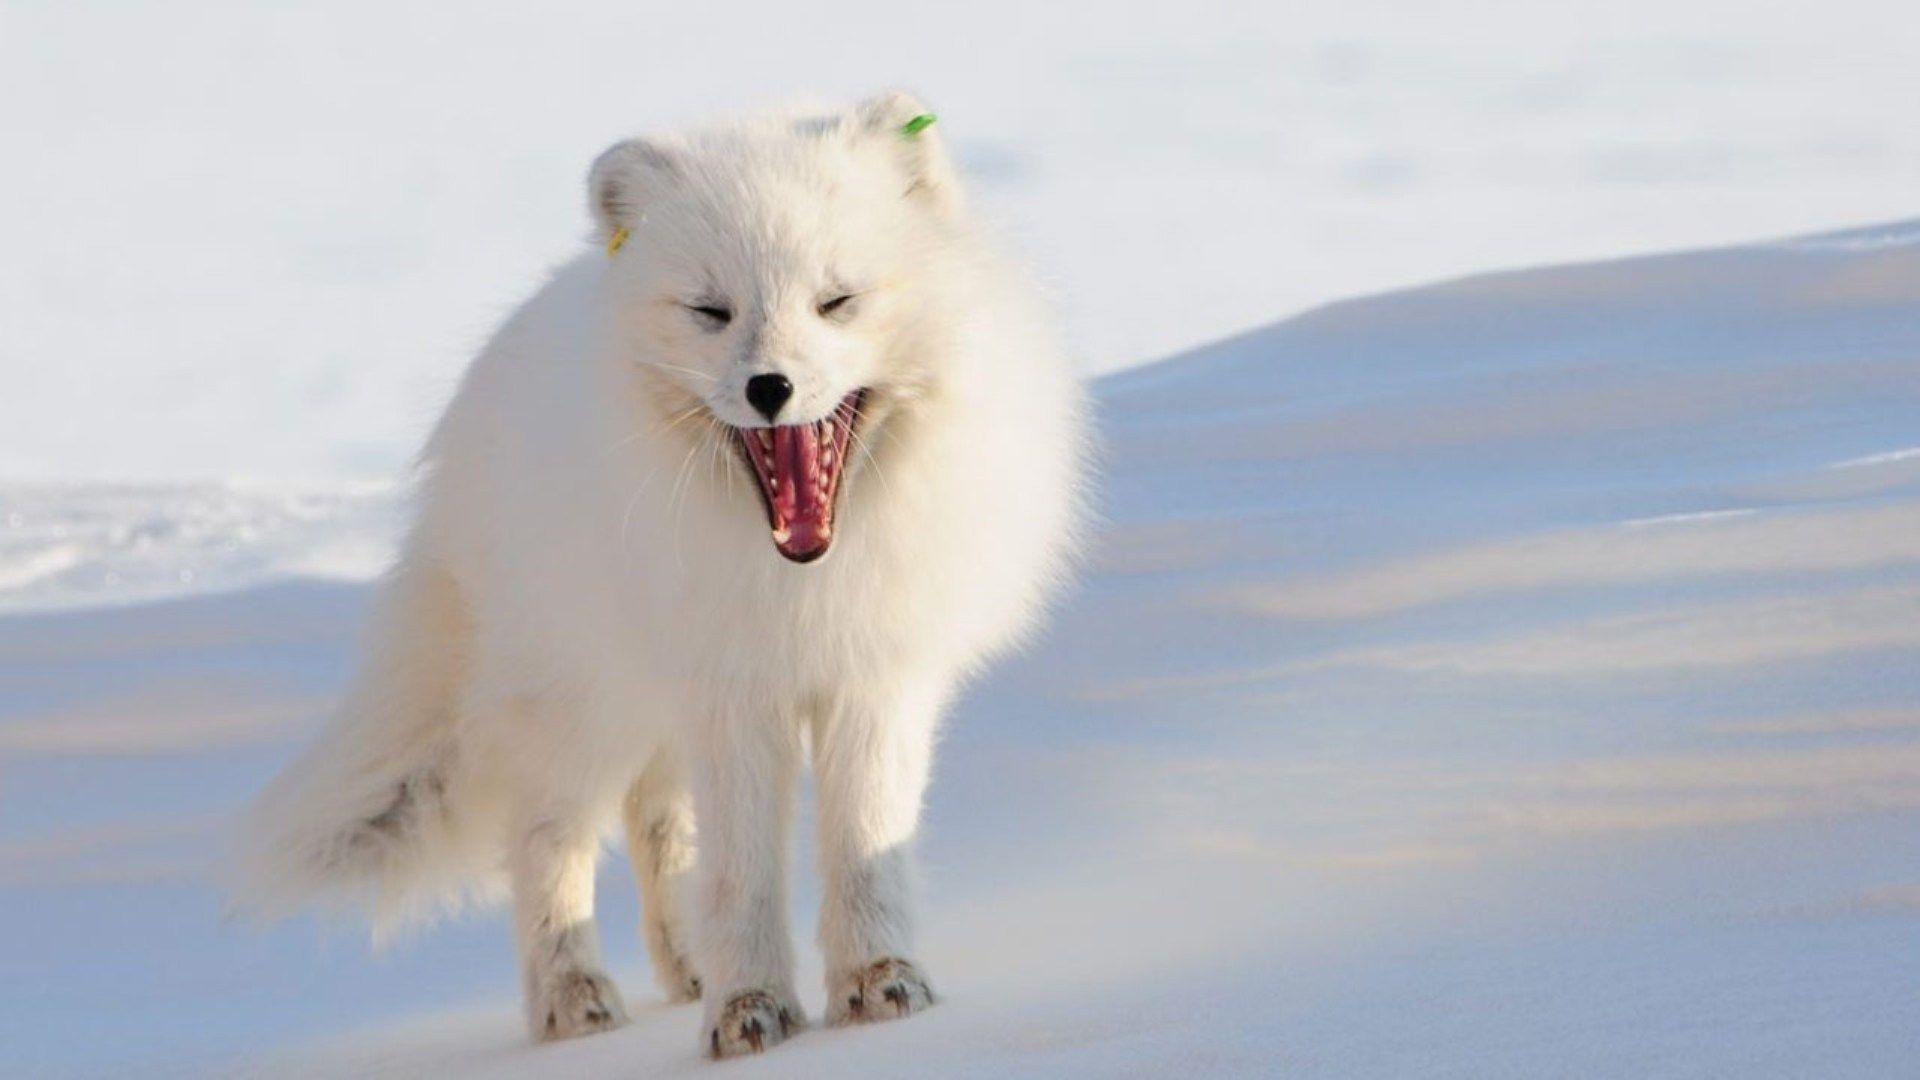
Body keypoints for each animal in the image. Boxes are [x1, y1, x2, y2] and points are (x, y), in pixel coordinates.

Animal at [228, 92, 1082, 1053]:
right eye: (712, 311)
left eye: (836, 301)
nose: (769, 387)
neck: (798, 580)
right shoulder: (732, 694)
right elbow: (742, 868)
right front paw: (751, 1007)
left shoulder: (874, 678)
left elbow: (864, 836)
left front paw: (877, 981)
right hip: (578, 704)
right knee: (546, 841)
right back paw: (572, 999)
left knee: (656, 819)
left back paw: (687, 964)